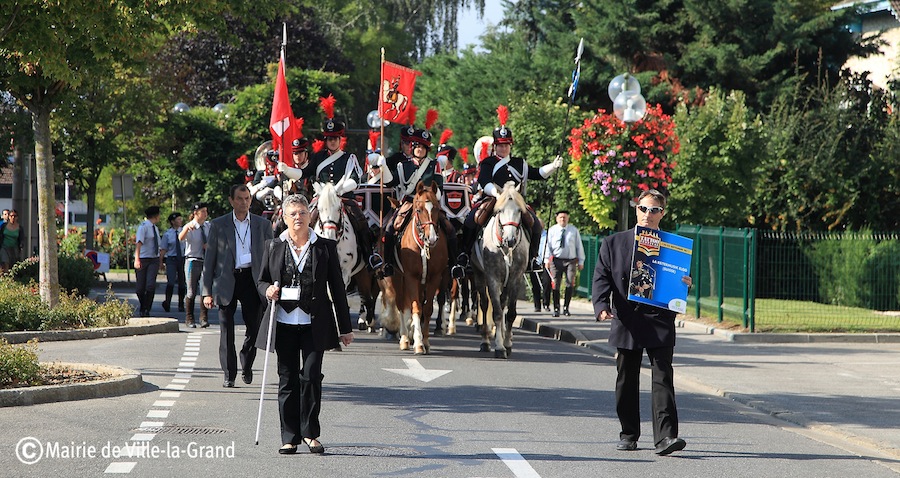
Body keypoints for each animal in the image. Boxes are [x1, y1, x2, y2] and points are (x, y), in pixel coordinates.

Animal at [382, 181, 448, 352]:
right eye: (419, 210)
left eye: (437, 208)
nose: (432, 238)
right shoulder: (411, 277)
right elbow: (415, 307)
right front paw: (418, 342)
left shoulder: (434, 278)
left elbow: (427, 308)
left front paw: (425, 341)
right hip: (398, 277)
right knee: (401, 304)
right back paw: (405, 338)